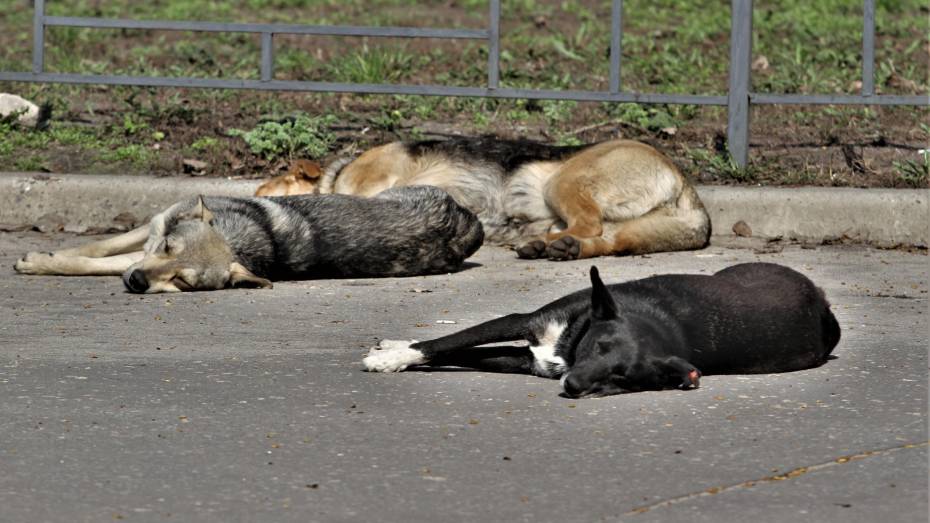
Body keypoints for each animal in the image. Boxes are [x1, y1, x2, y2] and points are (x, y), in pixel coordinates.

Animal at [250, 137, 708, 260]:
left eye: (266, 187)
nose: (255, 192)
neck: (335, 176)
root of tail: (684, 182)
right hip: (623, 227)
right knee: (605, 240)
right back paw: (556, 247)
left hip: (563, 180)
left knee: (590, 225)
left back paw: (547, 244)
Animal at [364, 264, 840, 400]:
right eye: (599, 346)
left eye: (621, 376)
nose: (574, 385)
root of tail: (822, 300)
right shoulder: (525, 325)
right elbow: (446, 344)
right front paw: (394, 353)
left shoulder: (531, 361)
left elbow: (456, 352)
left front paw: (392, 355)